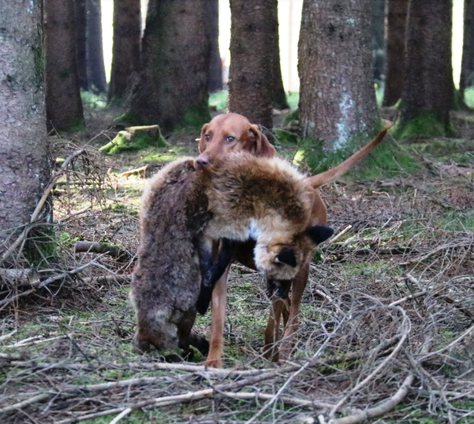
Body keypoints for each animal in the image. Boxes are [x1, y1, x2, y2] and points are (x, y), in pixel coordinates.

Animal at [130, 152, 334, 358]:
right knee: (181, 338)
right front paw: (205, 300)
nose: (283, 294)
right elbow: (212, 272)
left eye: (287, 279)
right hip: (185, 313)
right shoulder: (221, 229)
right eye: (278, 277)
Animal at [195, 112, 388, 368]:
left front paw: (275, 350)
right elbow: (218, 317)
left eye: (230, 138)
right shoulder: (221, 265)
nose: (201, 161)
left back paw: (285, 349)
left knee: (293, 310)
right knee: (285, 307)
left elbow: (275, 316)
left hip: (301, 268)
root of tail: (308, 185)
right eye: (208, 136)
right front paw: (213, 360)